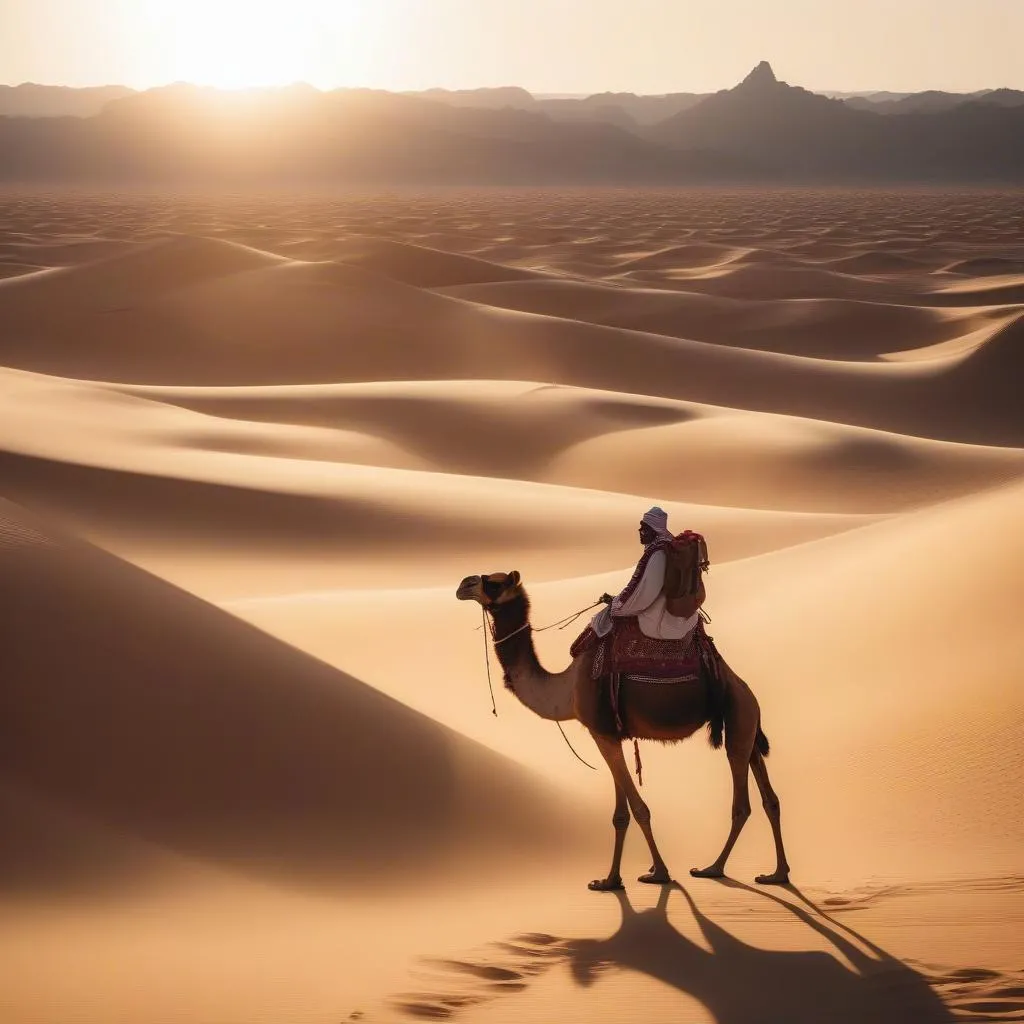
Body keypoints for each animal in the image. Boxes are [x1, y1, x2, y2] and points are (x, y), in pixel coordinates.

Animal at [456, 573, 790, 892]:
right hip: (747, 727)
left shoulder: (601, 734)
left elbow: (639, 809)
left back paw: (713, 868)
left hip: (738, 721)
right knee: (770, 799)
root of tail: (747, 691)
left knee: (742, 804)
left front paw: (659, 873)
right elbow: (620, 815)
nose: (463, 585)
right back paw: (777, 874)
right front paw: (610, 881)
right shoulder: (609, 735)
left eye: (494, 583)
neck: (567, 688)